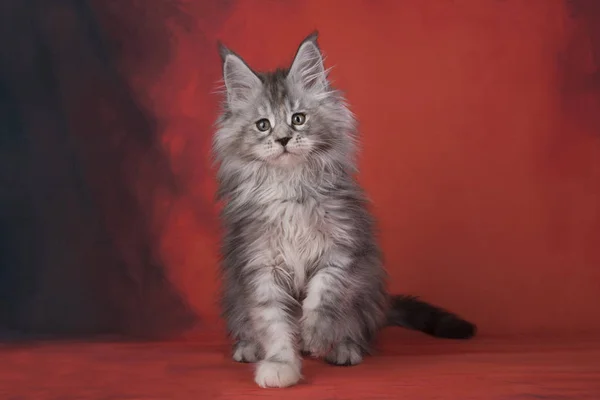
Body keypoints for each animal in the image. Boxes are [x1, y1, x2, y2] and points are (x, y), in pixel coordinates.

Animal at [213, 32, 476, 390]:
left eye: (298, 119)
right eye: (263, 125)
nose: (283, 139)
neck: (291, 191)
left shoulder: (341, 250)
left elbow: (322, 298)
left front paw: (314, 336)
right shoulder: (260, 265)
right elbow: (273, 322)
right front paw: (281, 364)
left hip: (365, 290)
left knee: (355, 327)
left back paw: (344, 349)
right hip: (235, 296)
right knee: (247, 323)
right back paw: (248, 347)